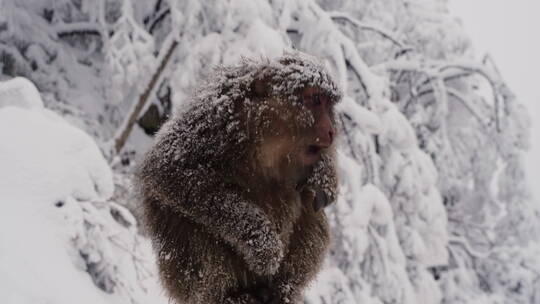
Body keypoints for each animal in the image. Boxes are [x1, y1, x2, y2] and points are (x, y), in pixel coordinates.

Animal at [137, 52, 340, 304]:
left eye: (329, 105)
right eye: (315, 99)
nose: (332, 131)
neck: (271, 141)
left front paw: (325, 174)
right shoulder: (215, 119)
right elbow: (169, 171)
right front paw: (264, 247)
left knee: (311, 210)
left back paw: (284, 289)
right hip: (186, 283)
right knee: (190, 224)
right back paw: (230, 295)